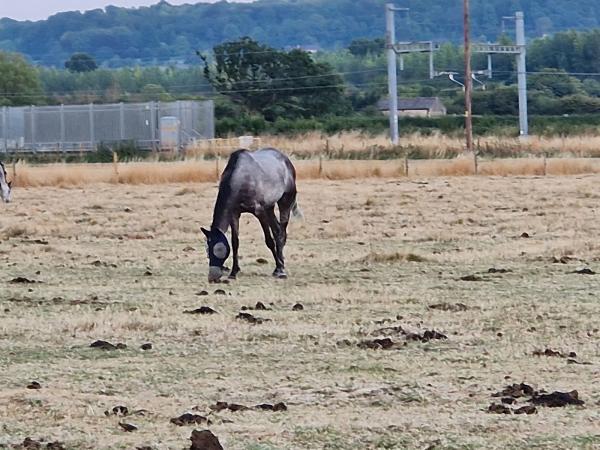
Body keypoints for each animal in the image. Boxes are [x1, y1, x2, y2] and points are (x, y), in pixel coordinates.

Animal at [202, 148, 302, 282]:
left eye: (217, 249)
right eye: (207, 250)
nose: (212, 277)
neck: (241, 178)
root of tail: (286, 160)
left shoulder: (260, 213)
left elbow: (269, 241)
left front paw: (280, 269)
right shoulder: (234, 214)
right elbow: (235, 242)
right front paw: (234, 272)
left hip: (285, 202)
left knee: (281, 233)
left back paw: (281, 270)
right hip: (269, 208)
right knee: (277, 230)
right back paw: (278, 267)